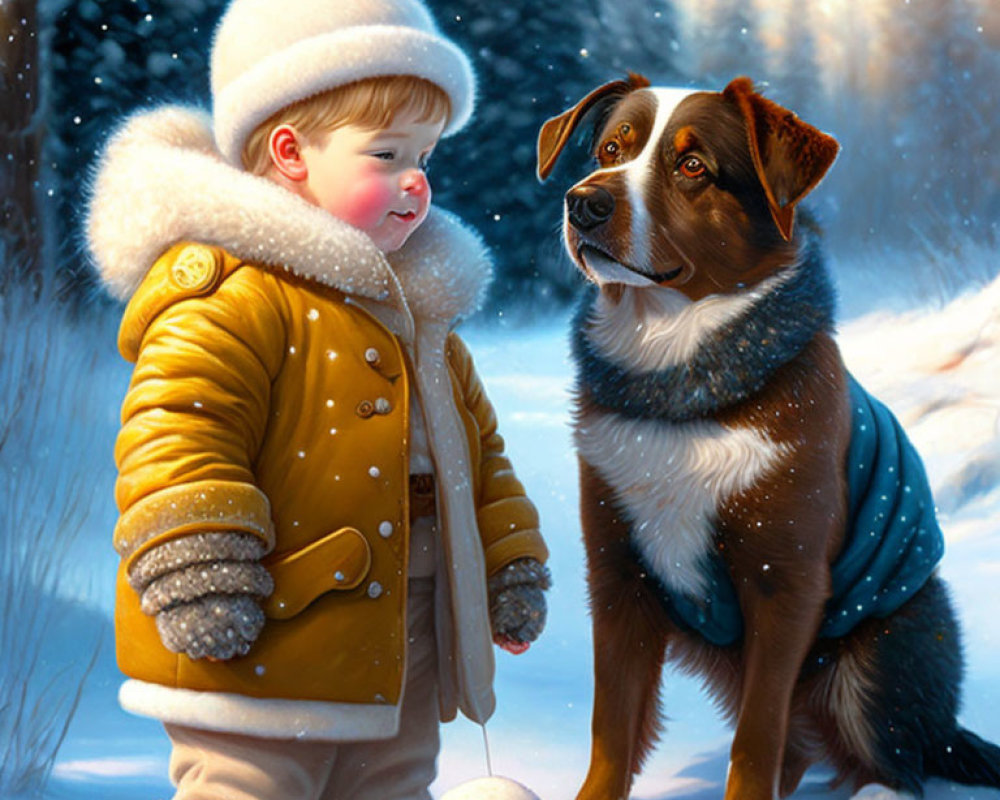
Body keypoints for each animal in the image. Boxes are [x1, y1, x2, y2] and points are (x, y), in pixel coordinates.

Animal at [540, 75, 1000, 800]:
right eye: (610, 149)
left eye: (692, 165)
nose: (583, 202)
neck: (679, 388)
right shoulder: (618, 572)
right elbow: (612, 729)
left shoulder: (785, 583)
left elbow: (756, 737)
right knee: (806, 747)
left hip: (876, 657)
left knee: (892, 761)